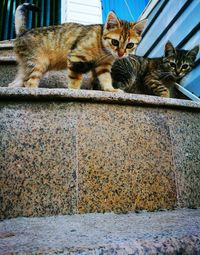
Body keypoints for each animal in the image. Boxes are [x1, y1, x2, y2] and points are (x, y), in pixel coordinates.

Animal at [9, 3, 147, 92]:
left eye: (130, 45)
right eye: (115, 42)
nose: (121, 54)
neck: (103, 50)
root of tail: (24, 32)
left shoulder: (103, 66)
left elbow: (106, 79)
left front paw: (111, 89)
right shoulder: (76, 58)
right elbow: (75, 79)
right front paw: (74, 91)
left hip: (27, 65)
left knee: (18, 80)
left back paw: (13, 86)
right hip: (38, 63)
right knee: (29, 82)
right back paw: (34, 89)